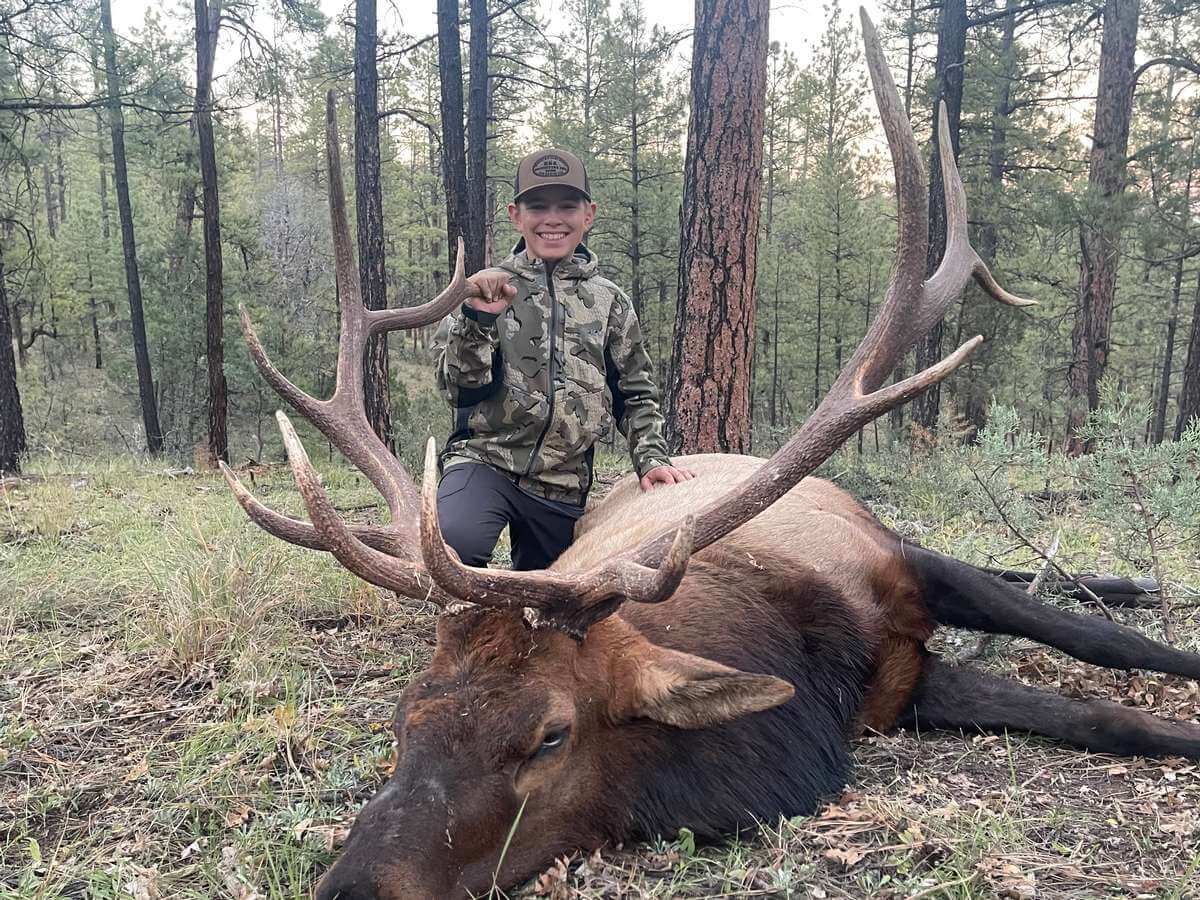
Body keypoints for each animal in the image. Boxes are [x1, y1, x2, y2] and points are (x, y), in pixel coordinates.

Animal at [220, 12, 1200, 900]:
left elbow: (1104, 646)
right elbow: (1101, 718)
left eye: (549, 734)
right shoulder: (907, 689)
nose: (350, 887)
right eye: (404, 720)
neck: (808, 657)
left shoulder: (903, 564)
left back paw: (1133, 582)